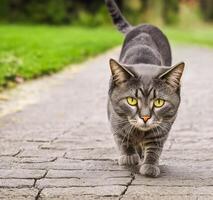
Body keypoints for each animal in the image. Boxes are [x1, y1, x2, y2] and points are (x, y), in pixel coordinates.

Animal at [105, 0, 185, 178]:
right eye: (131, 100)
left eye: (159, 102)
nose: (146, 117)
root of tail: (141, 25)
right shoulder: (115, 116)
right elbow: (122, 137)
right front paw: (129, 156)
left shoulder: (165, 123)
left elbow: (155, 144)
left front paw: (150, 164)